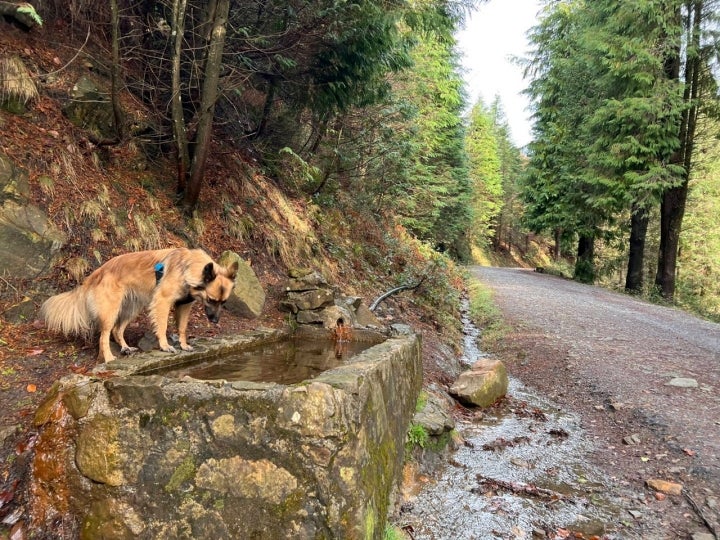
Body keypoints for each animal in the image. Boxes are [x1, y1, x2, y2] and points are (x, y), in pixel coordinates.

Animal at [40, 249, 239, 362]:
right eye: (211, 300)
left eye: (223, 302)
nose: (215, 321)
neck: (188, 267)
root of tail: (97, 273)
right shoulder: (162, 302)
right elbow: (163, 326)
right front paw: (165, 346)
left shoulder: (184, 305)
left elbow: (182, 328)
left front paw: (184, 345)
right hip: (112, 311)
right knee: (104, 336)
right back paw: (109, 357)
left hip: (130, 309)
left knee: (117, 330)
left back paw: (125, 348)